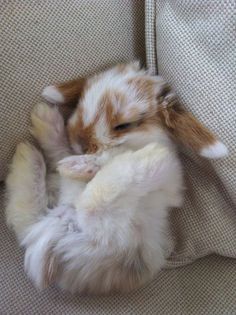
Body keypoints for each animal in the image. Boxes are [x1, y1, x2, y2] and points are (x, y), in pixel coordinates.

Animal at [5, 62, 227, 296]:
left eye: (124, 125)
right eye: (81, 104)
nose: (80, 142)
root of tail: (49, 234)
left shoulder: (170, 180)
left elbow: (111, 160)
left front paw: (84, 164)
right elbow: (78, 156)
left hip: (110, 225)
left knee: (90, 200)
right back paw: (40, 131)